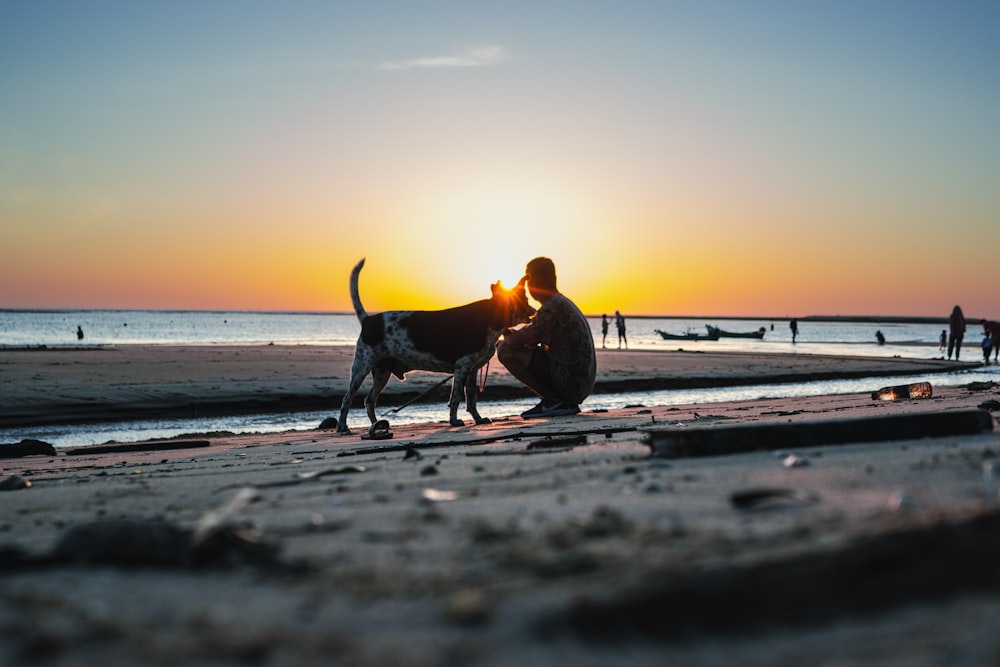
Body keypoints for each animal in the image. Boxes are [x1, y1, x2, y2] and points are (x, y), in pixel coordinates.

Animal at [336, 258, 536, 436]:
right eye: (525, 299)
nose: (534, 312)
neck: (492, 317)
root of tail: (368, 320)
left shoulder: (472, 370)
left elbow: (472, 399)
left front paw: (478, 419)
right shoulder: (462, 366)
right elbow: (456, 397)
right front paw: (454, 421)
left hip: (381, 374)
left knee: (369, 400)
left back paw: (376, 425)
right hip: (361, 368)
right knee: (347, 399)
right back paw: (342, 427)